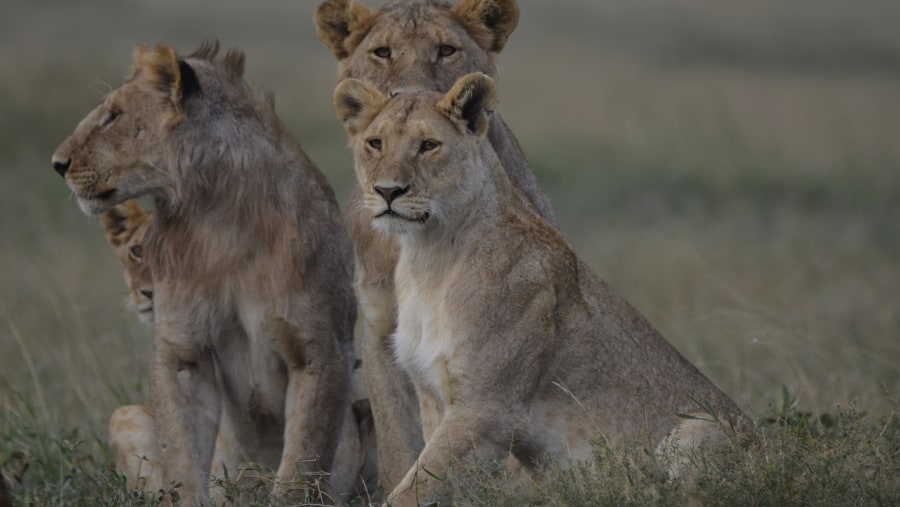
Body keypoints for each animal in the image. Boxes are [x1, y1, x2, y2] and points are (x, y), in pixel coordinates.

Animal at [52, 42, 358, 504]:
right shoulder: (181, 350)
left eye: (113, 115)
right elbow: (183, 455)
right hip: (125, 415)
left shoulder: (319, 350)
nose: (57, 163)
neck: (219, 220)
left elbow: (301, 463)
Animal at [334, 73, 748, 506]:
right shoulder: (432, 398)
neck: (428, 257)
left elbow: (417, 488)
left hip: (702, 427)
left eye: (428, 145)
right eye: (375, 143)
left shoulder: (489, 408)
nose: (387, 191)